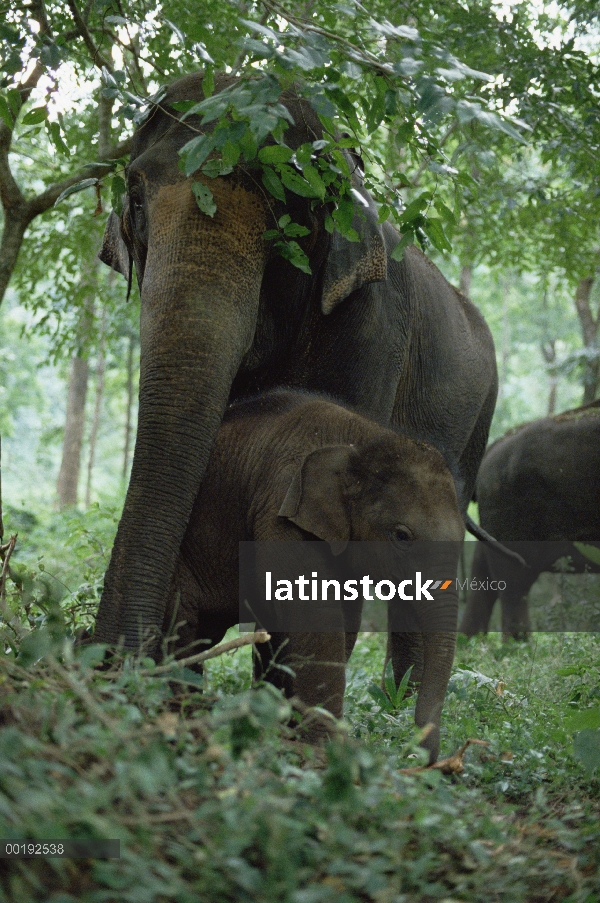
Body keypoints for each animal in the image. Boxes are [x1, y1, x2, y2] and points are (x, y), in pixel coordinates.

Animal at [164, 390, 464, 764]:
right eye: (402, 536)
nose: (421, 756)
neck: (360, 438)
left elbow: (342, 620)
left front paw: (293, 737)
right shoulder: (280, 506)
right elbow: (316, 615)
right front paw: (327, 750)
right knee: (183, 629)